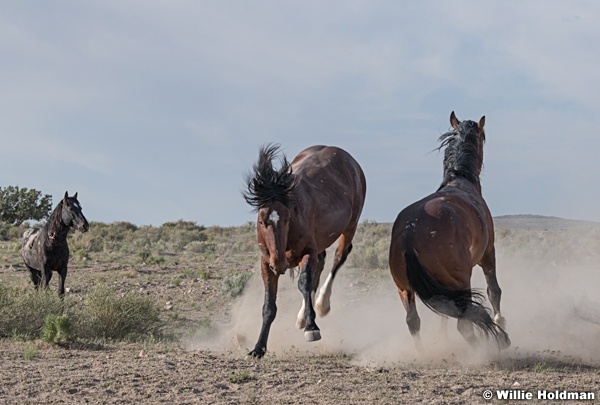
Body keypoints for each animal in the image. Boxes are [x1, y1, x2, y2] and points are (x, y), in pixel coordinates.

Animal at [243, 143, 366, 356]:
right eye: (261, 221)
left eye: (287, 218)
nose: (279, 264)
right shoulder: (265, 263)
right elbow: (269, 306)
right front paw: (258, 348)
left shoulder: (307, 252)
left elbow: (304, 283)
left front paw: (312, 328)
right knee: (321, 264)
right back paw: (303, 317)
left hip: (350, 226)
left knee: (338, 259)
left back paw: (321, 305)